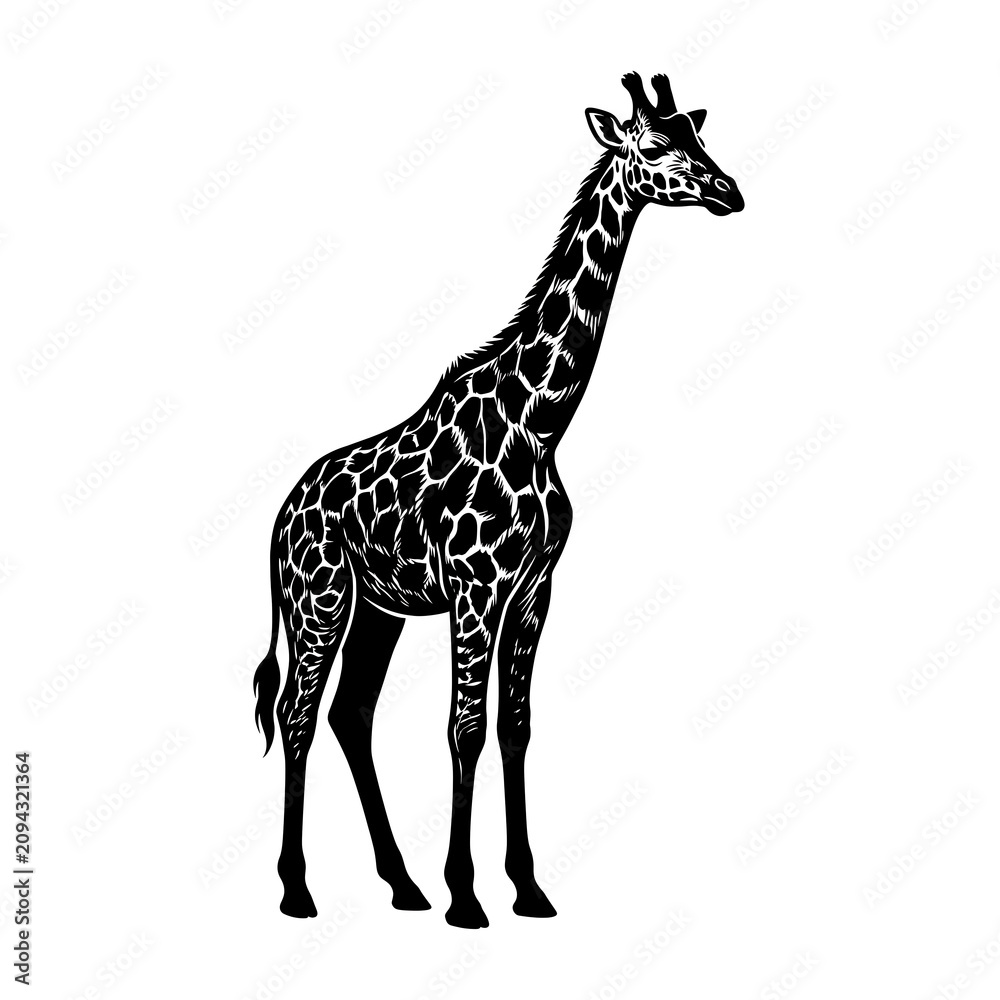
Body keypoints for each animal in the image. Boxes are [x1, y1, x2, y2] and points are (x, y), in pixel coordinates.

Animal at [253, 72, 744, 929]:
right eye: (654, 146)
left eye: (701, 136)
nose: (730, 191)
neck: (540, 420)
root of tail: (279, 518)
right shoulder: (476, 586)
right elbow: (466, 727)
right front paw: (466, 895)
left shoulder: (536, 586)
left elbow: (515, 725)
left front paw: (527, 887)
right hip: (321, 597)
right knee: (298, 714)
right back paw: (298, 890)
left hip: (377, 608)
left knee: (351, 714)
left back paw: (401, 884)